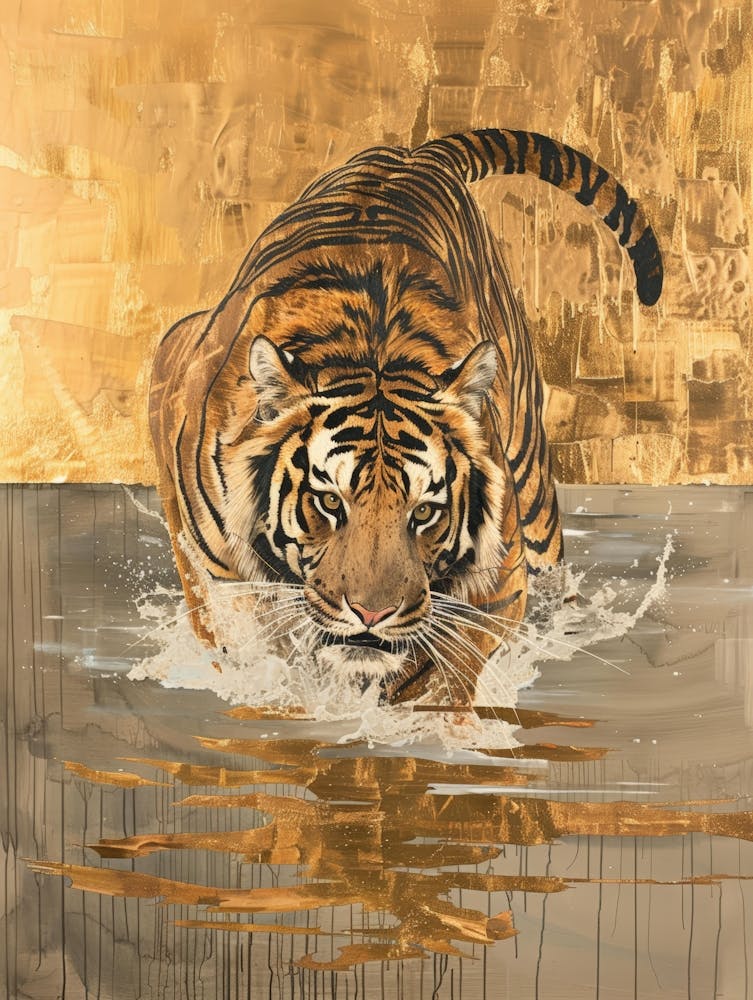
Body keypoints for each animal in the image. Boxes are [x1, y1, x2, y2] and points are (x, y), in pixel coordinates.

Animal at [149, 128, 663, 706]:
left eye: (424, 512)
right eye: (329, 502)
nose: (372, 613)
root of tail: (416, 151)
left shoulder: (498, 585)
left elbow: (442, 670)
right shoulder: (223, 569)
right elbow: (252, 633)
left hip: (532, 484)